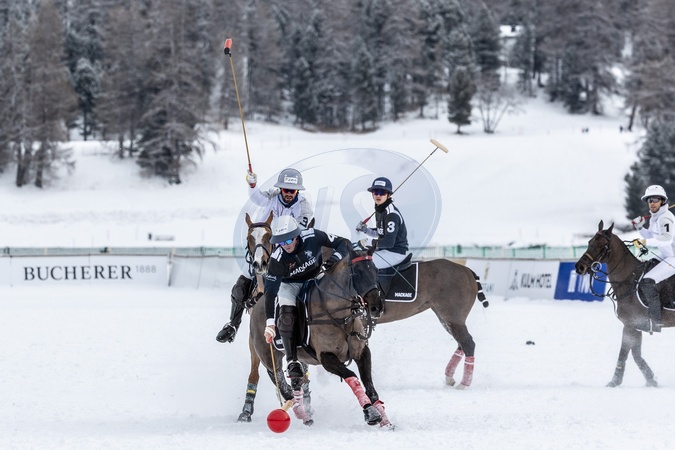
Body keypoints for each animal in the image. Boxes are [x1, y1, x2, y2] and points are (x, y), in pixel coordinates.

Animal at [574, 220, 675, 387]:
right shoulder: (634, 326)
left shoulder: (630, 325)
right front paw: (651, 379)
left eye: (603, 245)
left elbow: (625, 353)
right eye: (589, 242)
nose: (579, 267)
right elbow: (635, 354)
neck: (628, 279)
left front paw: (615, 382)